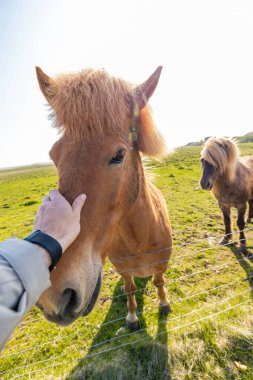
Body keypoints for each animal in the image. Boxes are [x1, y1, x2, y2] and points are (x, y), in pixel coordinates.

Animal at [35, 65, 172, 330]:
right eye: (53, 155)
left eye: (119, 155)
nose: (53, 297)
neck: (139, 239)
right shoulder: (124, 271)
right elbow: (129, 289)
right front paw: (131, 318)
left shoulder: (162, 266)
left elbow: (159, 282)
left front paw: (163, 304)